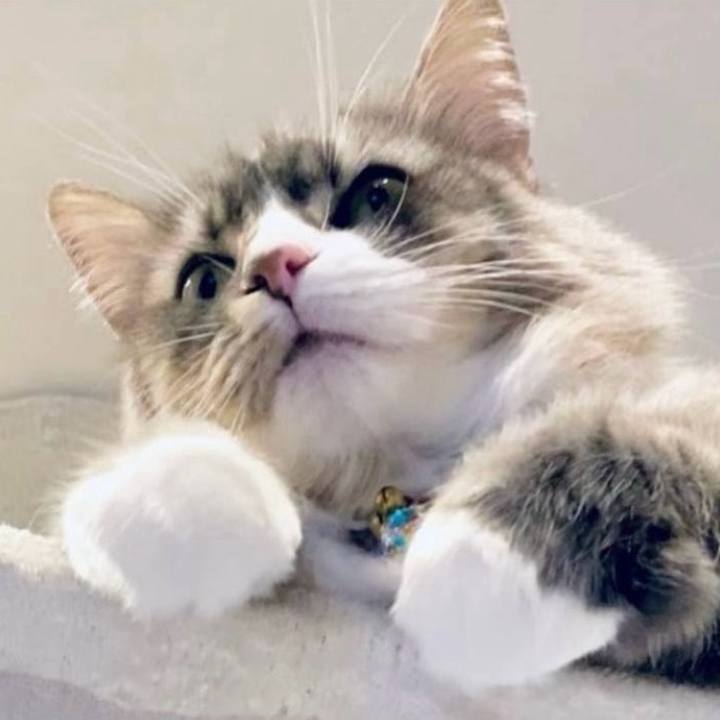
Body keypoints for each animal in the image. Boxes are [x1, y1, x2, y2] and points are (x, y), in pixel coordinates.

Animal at [47, 0, 720, 693]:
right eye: (204, 280)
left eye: (374, 194)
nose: (275, 265)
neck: (397, 481)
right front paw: (170, 501)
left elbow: (613, 445)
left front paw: (481, 564)